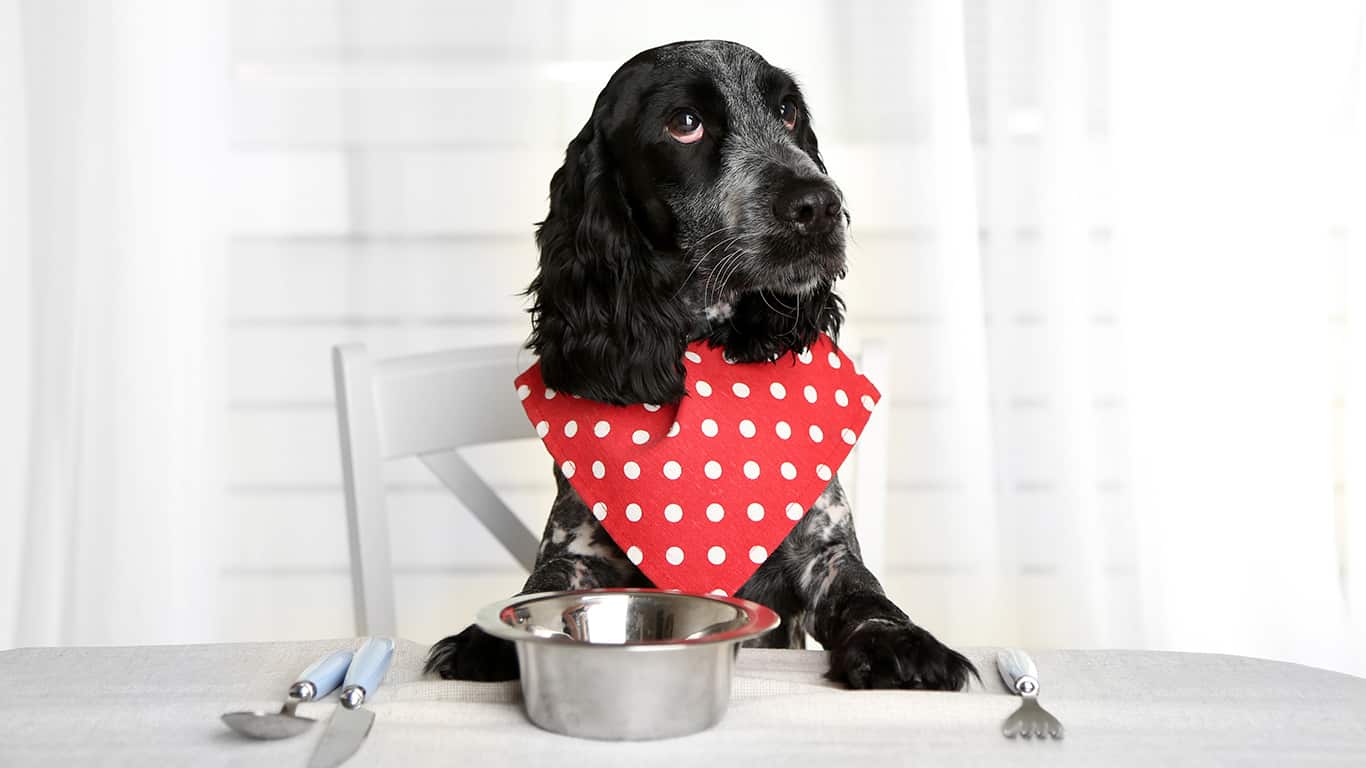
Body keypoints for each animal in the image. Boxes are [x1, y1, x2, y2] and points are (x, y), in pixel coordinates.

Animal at [426, 40, 972, 688]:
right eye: (684, 123)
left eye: (787, 111)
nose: (821, 204)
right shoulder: (576, 549)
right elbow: (539, 591)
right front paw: (484, 641)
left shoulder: (824, 549)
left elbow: (868, 596)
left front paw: (901, 644)